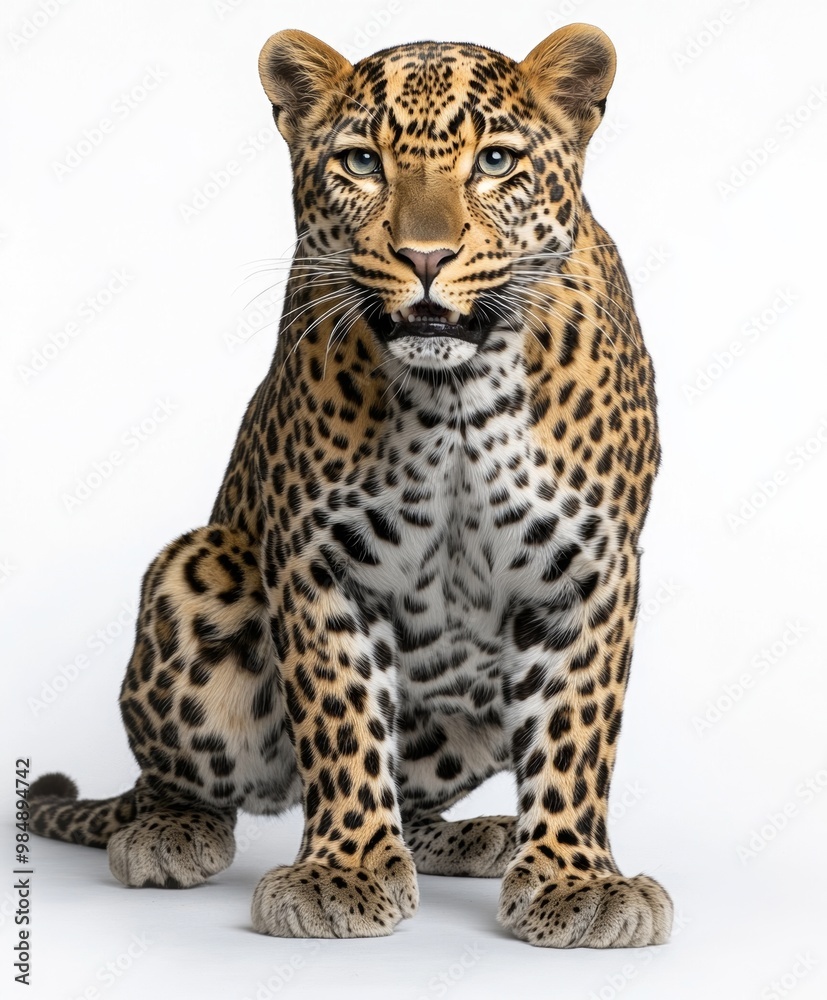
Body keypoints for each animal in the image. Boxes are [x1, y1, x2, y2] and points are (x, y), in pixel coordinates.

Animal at [29, 23, 673, 948]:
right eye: (363, 162)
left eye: (495, 161)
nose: (425, 256)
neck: (456, 396)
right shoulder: (317, 555)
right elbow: (339, 718)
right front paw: (344, 870)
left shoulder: (591, 563)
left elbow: (575, 730)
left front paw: (576, 877)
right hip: (197, 568)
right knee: (176, 778)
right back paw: (166, 831)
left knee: (416, 793)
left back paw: (477, 836)